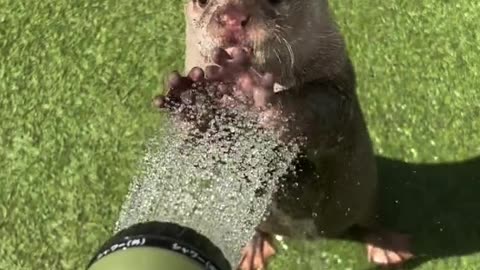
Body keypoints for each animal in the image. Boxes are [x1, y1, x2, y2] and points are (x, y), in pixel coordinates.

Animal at [157, 0, 412, 268]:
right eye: (202, 2)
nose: (232, 16)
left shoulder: (338, 86)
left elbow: (320, 112)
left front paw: (254, 91)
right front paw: (193, 102)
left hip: (366, 192)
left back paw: (387, 248)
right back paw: (251, 250)